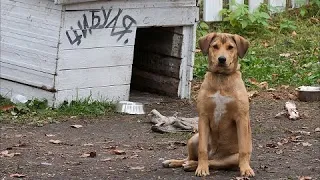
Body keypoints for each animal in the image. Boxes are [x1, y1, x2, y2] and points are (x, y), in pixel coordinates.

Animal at [162, 32, 255, 177]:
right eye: (215, 46)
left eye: (230, 47)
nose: (221, 59)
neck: (221, 80)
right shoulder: (204, 117)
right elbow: (202, 150)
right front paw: (202, 168)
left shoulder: (241, 117)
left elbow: (243, 149)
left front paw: (246, 169)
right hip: (194, 138)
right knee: (191, 157)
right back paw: (177, 162)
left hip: (230, 158)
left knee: (215, 162)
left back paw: (192, 165)